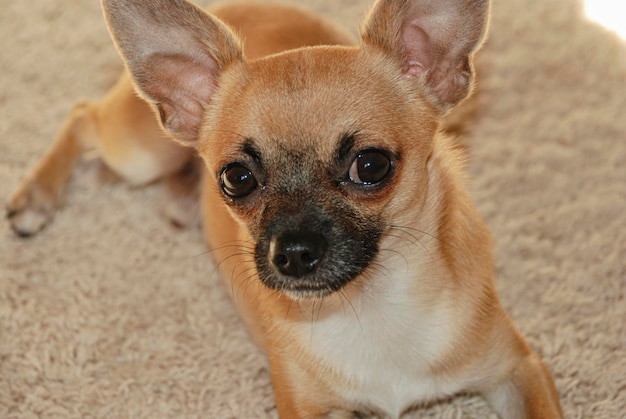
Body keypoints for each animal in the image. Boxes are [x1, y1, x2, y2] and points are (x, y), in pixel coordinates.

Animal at [4, 0, 560, 418]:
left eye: (372, 166)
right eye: (236, 178)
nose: (291, 253)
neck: (372, 304)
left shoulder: (520, 370)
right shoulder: (306, 408)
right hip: (140, 151)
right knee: (82, 115)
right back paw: (35, 199)